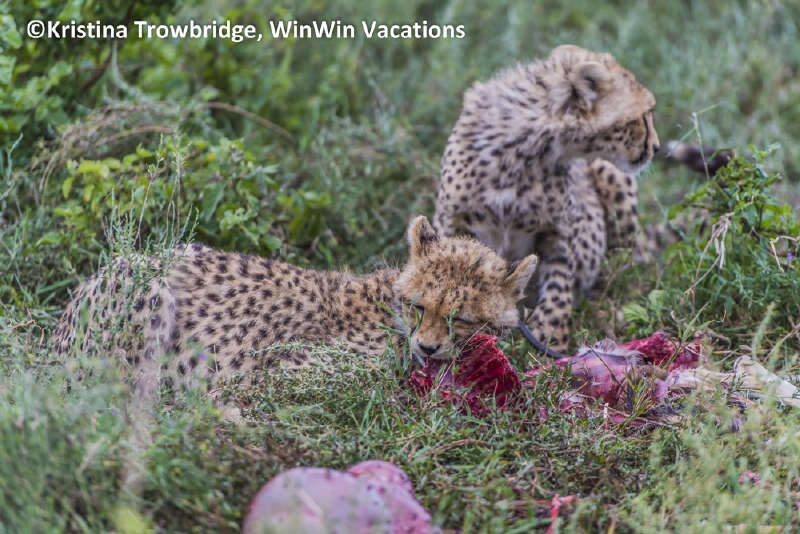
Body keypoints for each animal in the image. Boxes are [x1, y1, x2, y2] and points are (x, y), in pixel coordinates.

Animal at [433, 44, 661, 354]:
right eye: (644, 116)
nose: (657, 148)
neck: (524, 151)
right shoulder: (451, 221)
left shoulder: (558, 232)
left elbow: (558, 288)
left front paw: (549, 340)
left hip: (612, 178)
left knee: (624, 266)